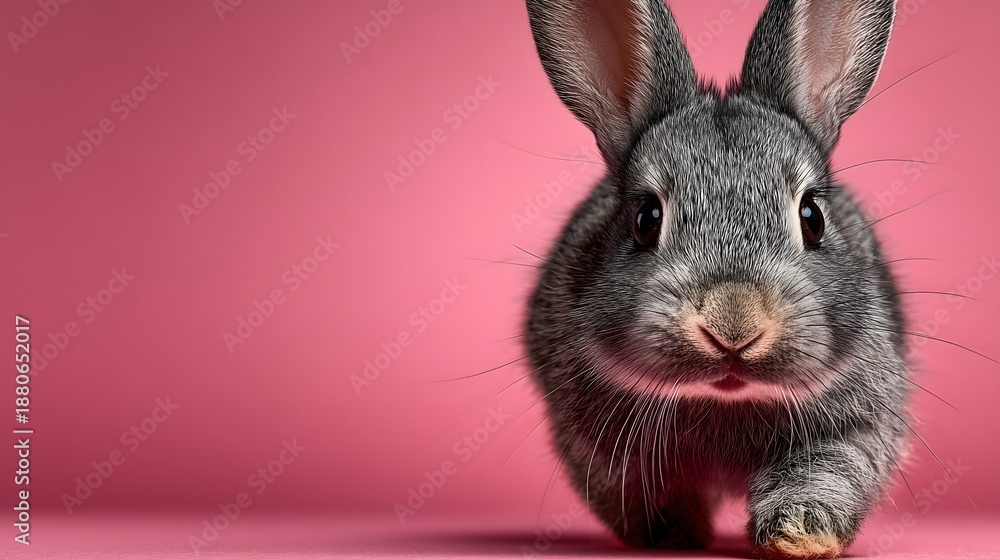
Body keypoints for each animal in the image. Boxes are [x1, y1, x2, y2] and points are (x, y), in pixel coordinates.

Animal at [522, 0, 908, 557]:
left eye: (812, 216)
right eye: (646, 218)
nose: (733, 324)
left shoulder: (855, 428)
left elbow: (825, 473)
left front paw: (800, 536)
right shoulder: (599, 447)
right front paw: (674, 537)